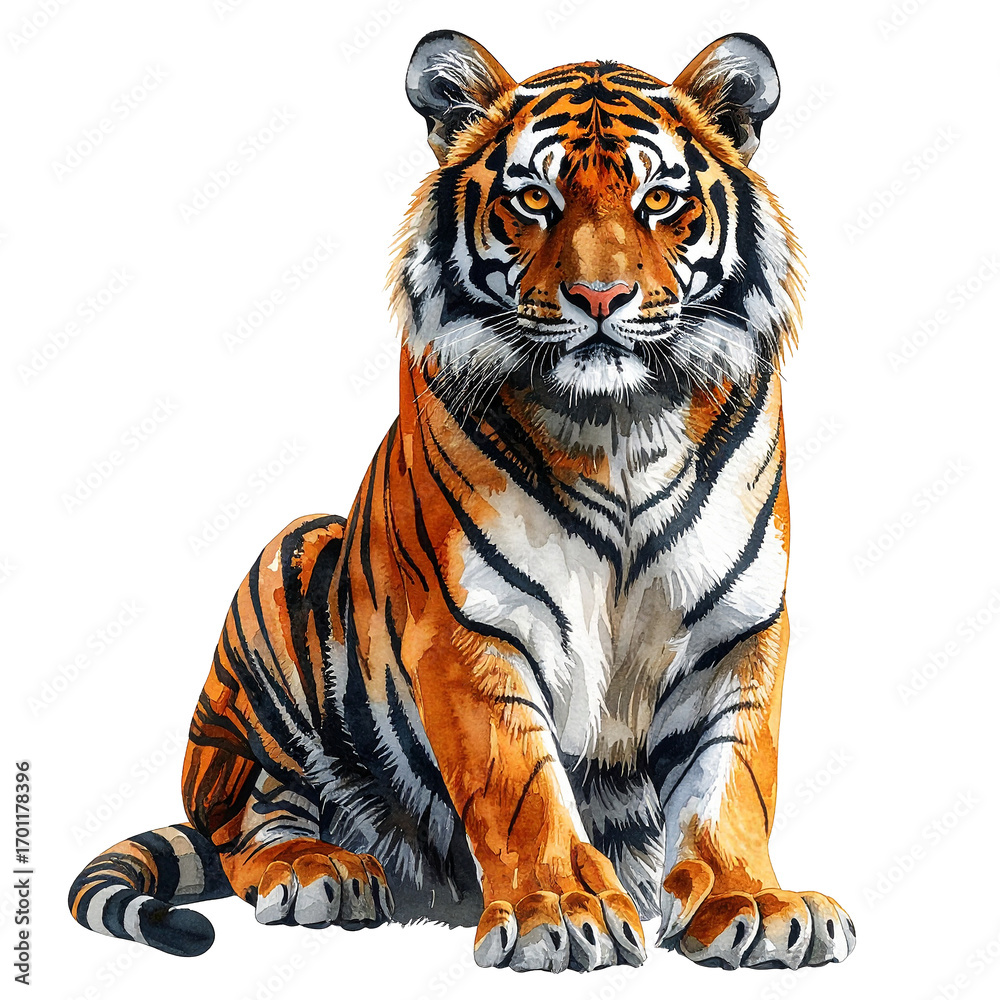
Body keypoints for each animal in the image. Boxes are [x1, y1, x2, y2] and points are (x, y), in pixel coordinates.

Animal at [68, 30, 856, 973]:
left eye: (660, 200)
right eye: (534, 199)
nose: (600, 299)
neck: (619, 426)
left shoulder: (736, 625)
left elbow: (731, 779)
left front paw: (757, 904)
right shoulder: (474, 624)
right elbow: (518, 780)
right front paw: (561, 912)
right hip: (280, 583)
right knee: (245, 816)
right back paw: (318, 870)